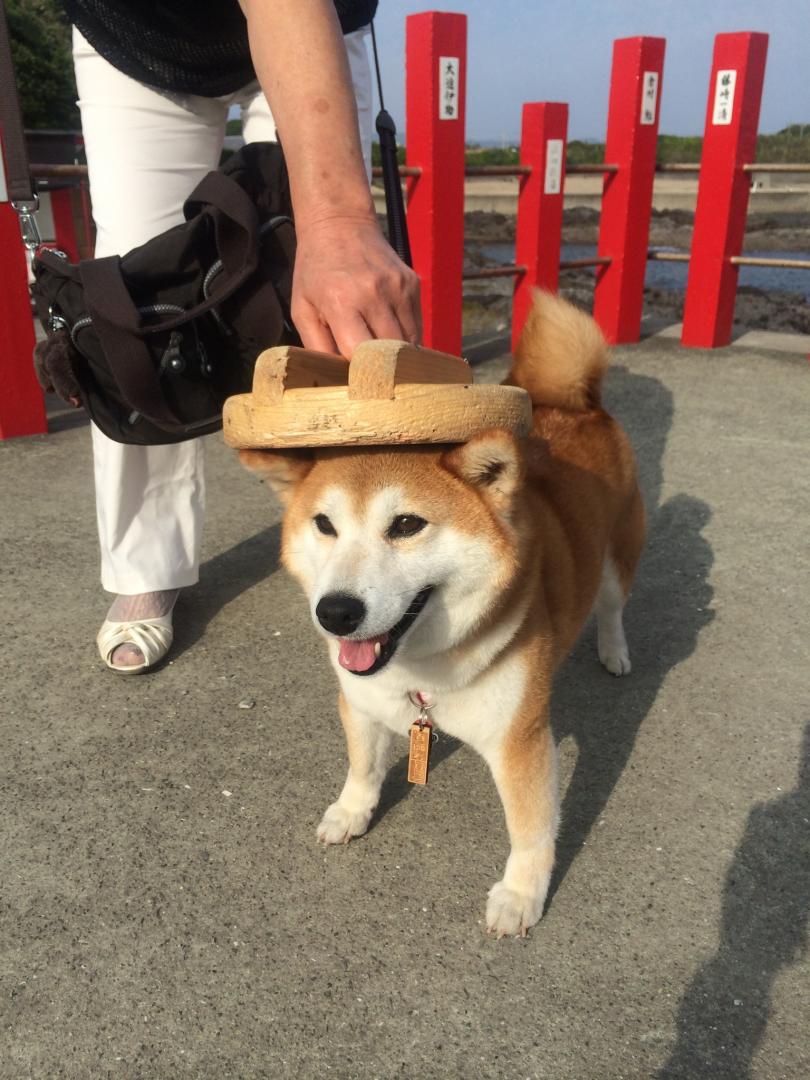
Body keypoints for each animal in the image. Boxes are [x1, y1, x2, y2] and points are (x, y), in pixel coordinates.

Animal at [240, 293, 648, 937]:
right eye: (324, 525)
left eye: (407, 525)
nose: (336, 612)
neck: (420, 675)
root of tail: (574, 404)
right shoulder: (363, 704)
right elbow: (362, 766)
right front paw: (352, 811)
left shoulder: (521, 740)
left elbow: (531, 831)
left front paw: (521, 895)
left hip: (616, 559)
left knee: (611, 607)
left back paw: (614, 652)